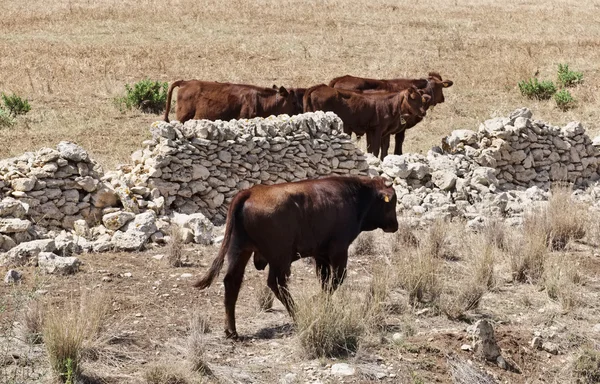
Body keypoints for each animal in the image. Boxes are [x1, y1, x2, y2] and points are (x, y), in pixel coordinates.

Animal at [193, 176, 398, 340]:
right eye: (391, 202)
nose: (395, 225)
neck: (355, 196)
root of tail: (251, 191)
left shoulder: (321, 255)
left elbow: (325, 282)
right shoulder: (339, 250)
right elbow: (336, 280)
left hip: (240, 251)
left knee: (232, 282)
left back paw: (232, 331)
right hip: (280, 258)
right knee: (276, 283)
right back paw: (297, 314)